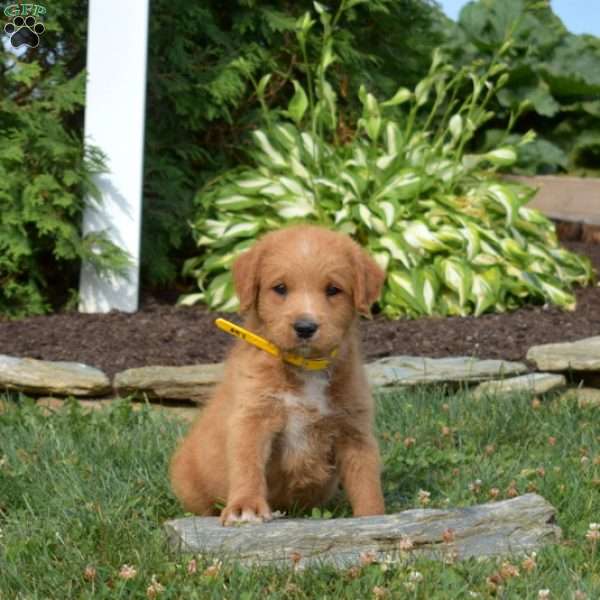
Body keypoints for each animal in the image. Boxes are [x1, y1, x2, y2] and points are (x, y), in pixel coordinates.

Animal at [170, 223, 384, 524]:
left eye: (333, 289)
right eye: (280, 288)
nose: (305, 327)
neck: (305, 368)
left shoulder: (355, 429)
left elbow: (366, 479)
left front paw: (373, 516)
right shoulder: (252, 417)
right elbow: (247, 464)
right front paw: (245, 506)